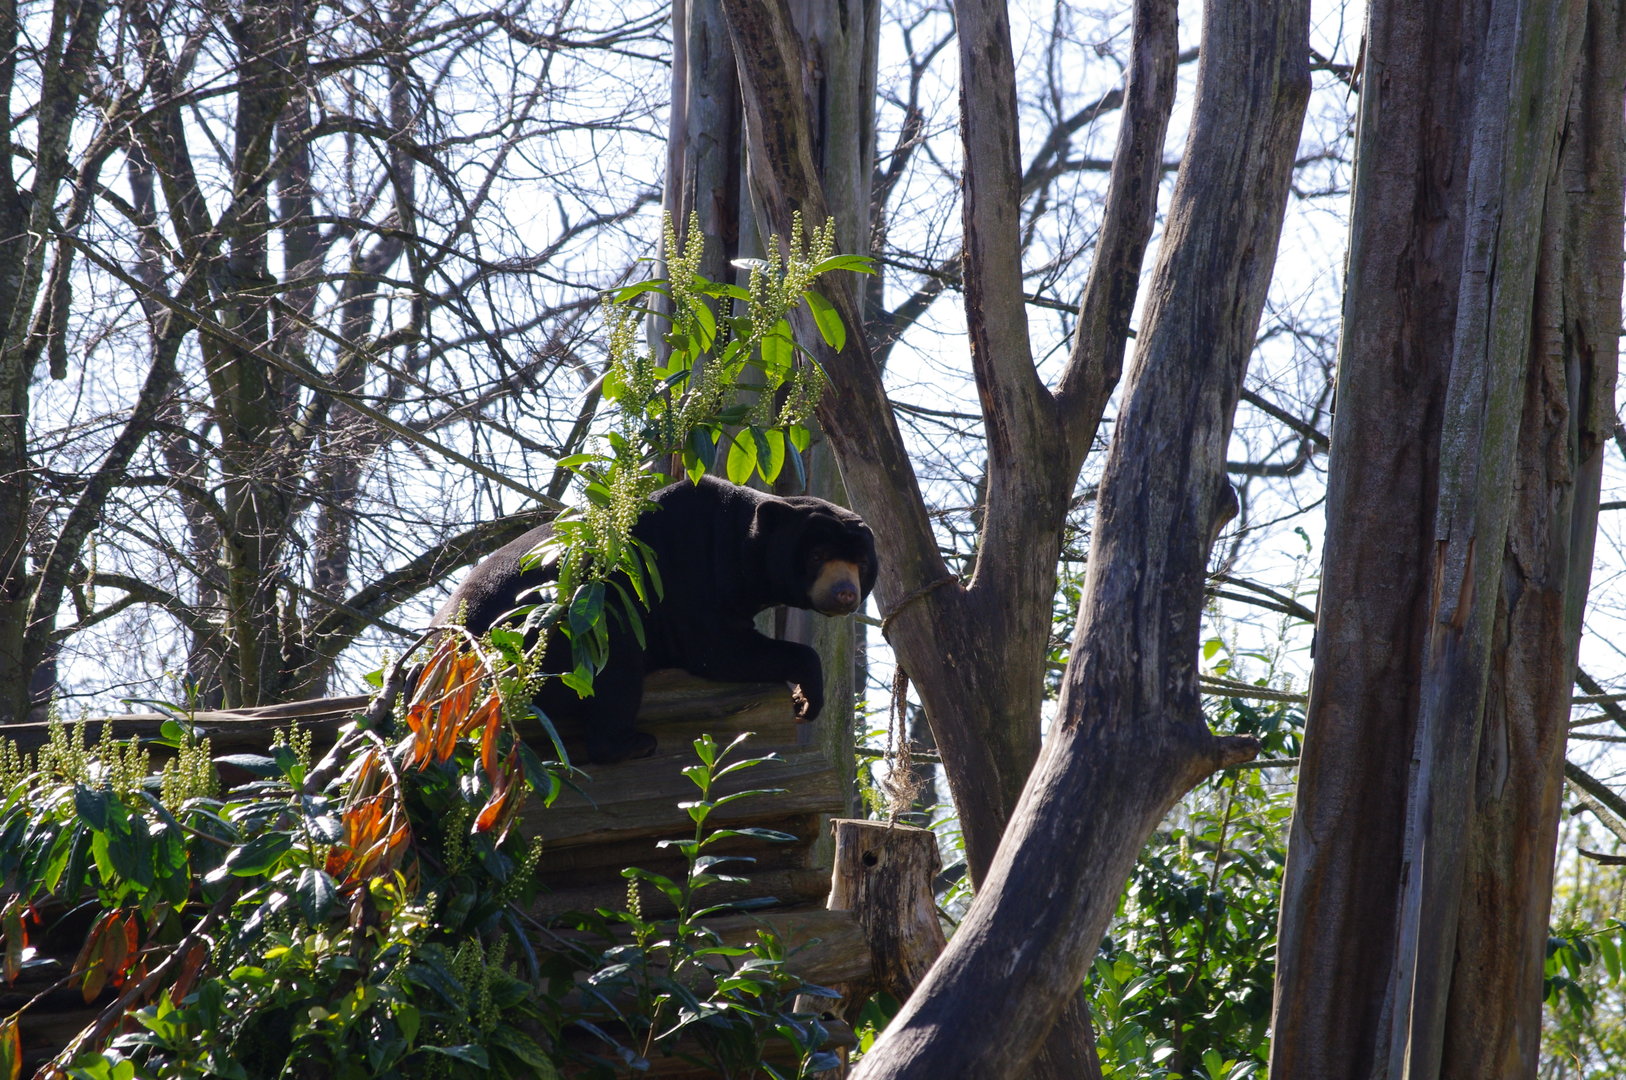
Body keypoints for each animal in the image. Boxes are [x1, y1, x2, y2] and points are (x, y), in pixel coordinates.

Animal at [430, 474, 878, 764]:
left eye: (860, 563)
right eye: (817, 556)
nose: (845, 594)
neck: (738, 546)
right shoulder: (687, 580)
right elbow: (717, 649)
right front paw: (808, 698)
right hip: (555, 635)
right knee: (615, 666)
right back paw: (634, 744)